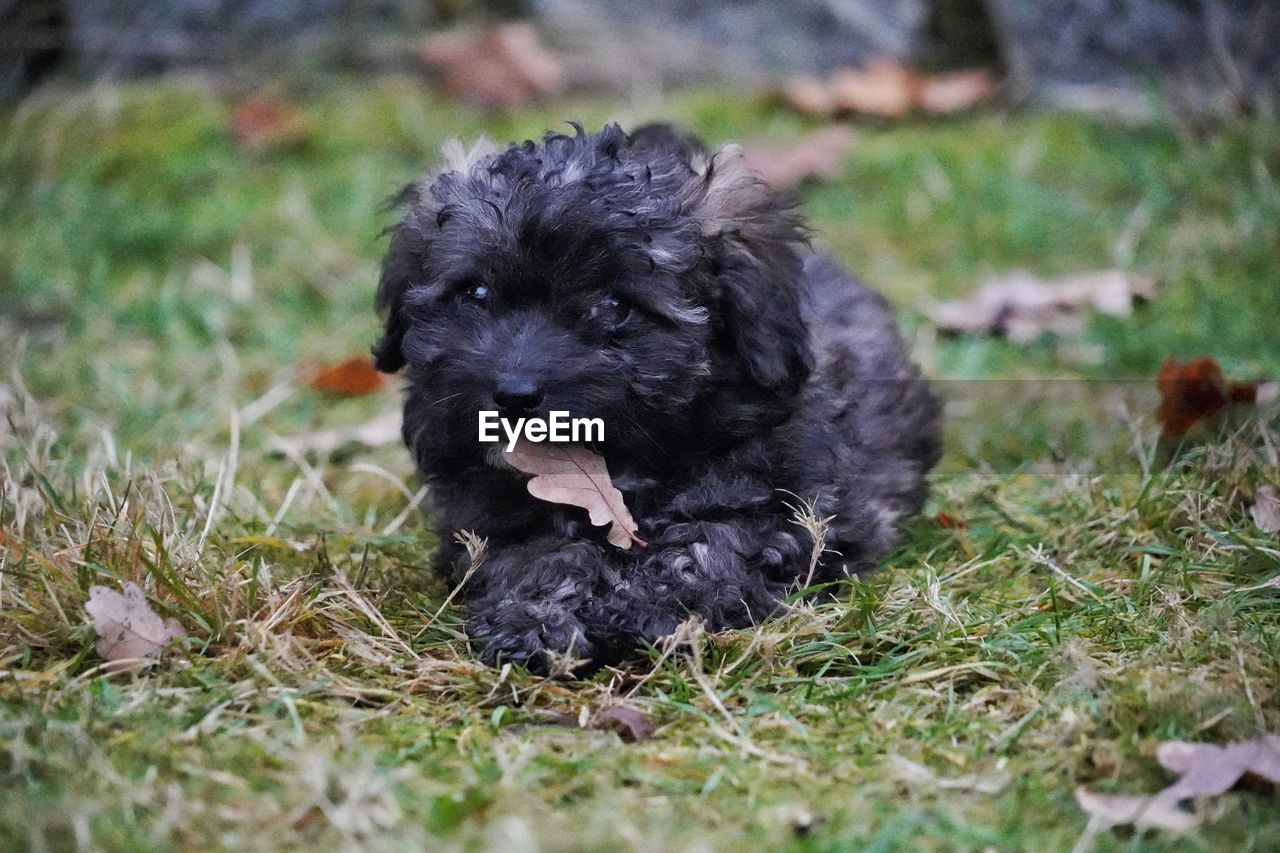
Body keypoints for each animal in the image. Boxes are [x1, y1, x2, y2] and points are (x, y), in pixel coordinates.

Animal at [371, 124, 942, 671]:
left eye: (615, 305)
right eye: (476, 292)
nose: (514, 392)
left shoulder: (783, 502)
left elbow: (710, 544)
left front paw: (648, 605)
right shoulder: (488, 514)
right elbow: (536, 554)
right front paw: (535, 619)